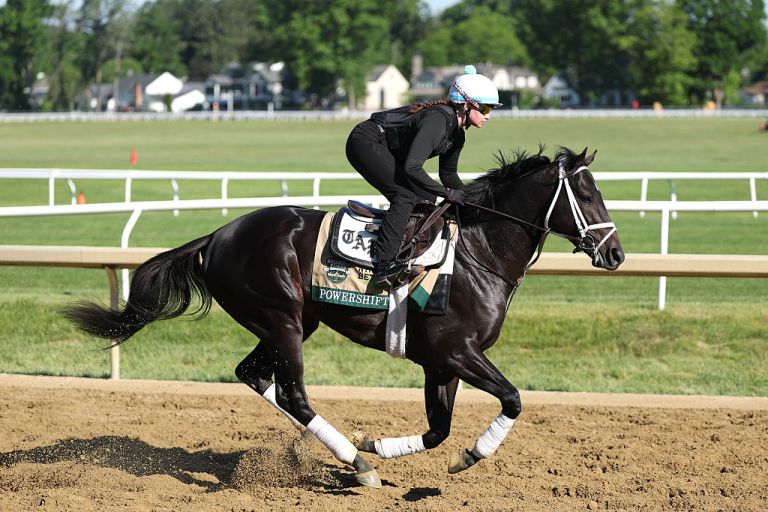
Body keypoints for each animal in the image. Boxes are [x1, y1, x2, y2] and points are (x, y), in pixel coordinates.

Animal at [63, 146, 625, 488]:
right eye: (587, 194)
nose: (615, 254)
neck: (479, 252)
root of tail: (218, 235)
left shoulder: (440, 363)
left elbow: (439, 429)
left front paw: (380, 442)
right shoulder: (457, 352)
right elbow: (512, 399)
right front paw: (468, 455)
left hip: (289, 322)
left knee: (254, 375)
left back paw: (352, 455)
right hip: (283, 319)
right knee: (292, 391)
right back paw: (357, 465)